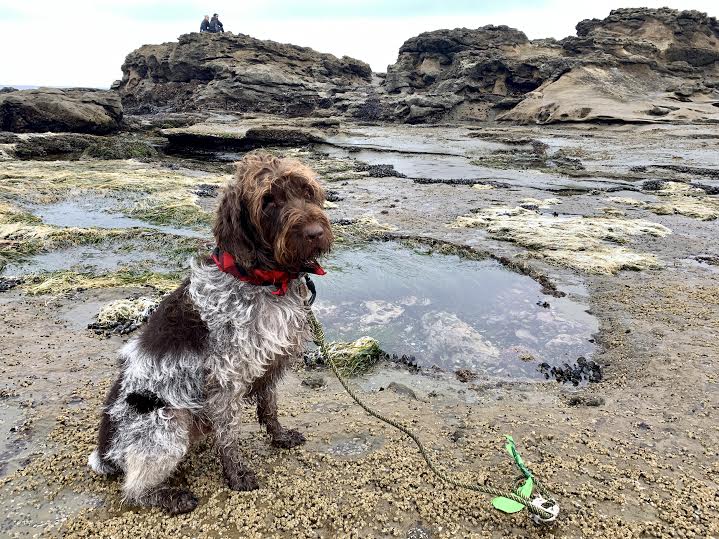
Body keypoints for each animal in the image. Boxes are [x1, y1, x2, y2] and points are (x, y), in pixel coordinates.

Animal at [90, 152, 334, 516]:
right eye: (268, 201)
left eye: (307, 191)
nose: (316, 233)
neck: (261, 279)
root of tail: (106, 452)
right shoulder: (226, 380)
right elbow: (229, 436)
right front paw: (236, 475)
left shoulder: (269, 363)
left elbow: (269, 409)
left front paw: (278, 438)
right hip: (166, 423)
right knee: (133, 490)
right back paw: (169, 496)